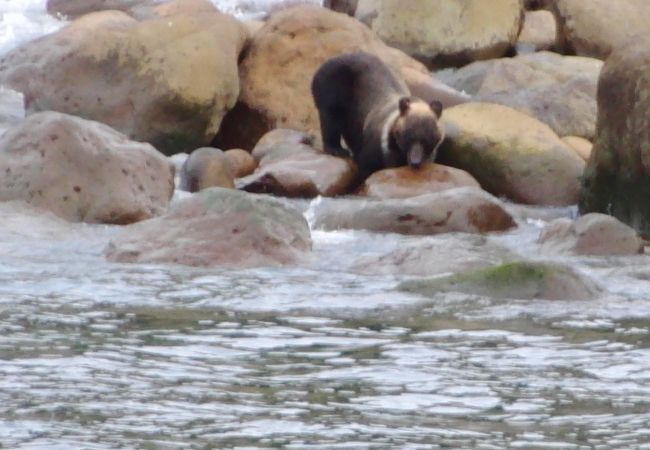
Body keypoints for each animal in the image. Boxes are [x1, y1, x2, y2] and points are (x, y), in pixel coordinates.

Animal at [308, 51, 440, 179]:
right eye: (408, 137)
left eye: (427, 140)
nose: (415, 162)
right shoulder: (373, 150)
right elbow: (367, 166)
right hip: (332, 90)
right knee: (331, 119)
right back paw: (336, 149)